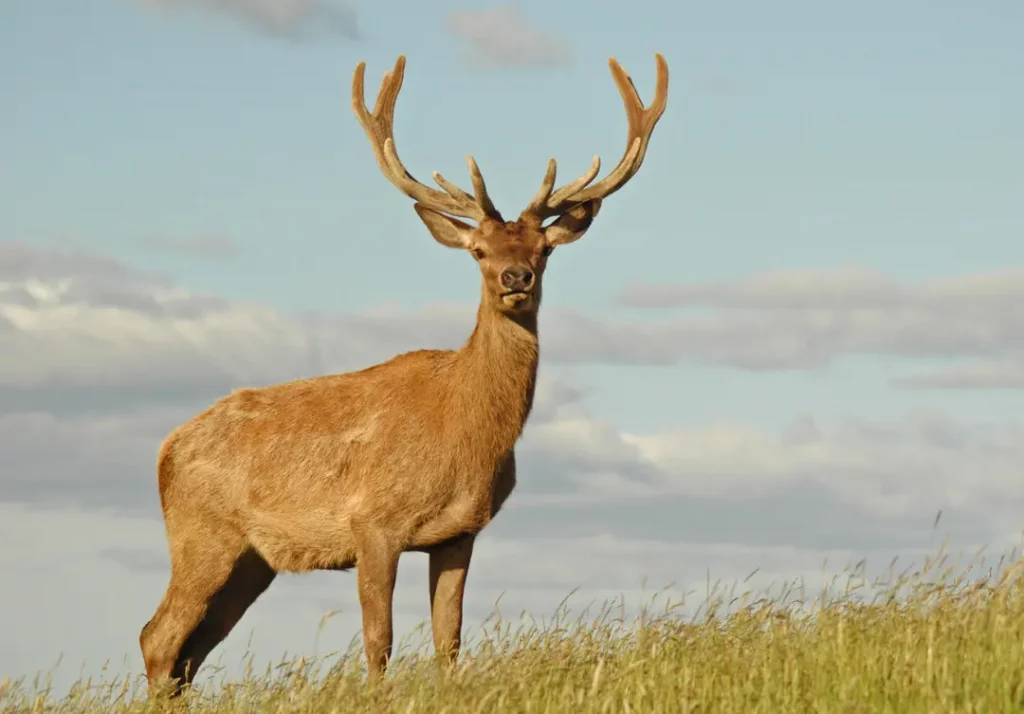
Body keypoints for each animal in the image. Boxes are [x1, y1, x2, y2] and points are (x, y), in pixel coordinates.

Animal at [139, 52, 669, 697]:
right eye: (478, 251)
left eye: (544, 249)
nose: (515, 278)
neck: (467, 435)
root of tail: (166, 449)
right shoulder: (373, 522)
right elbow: (379, 641)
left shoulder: (460, 533)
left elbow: (449, 642)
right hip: (202, 536)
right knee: (159, 638)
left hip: (251, 561)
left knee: (189, 653)